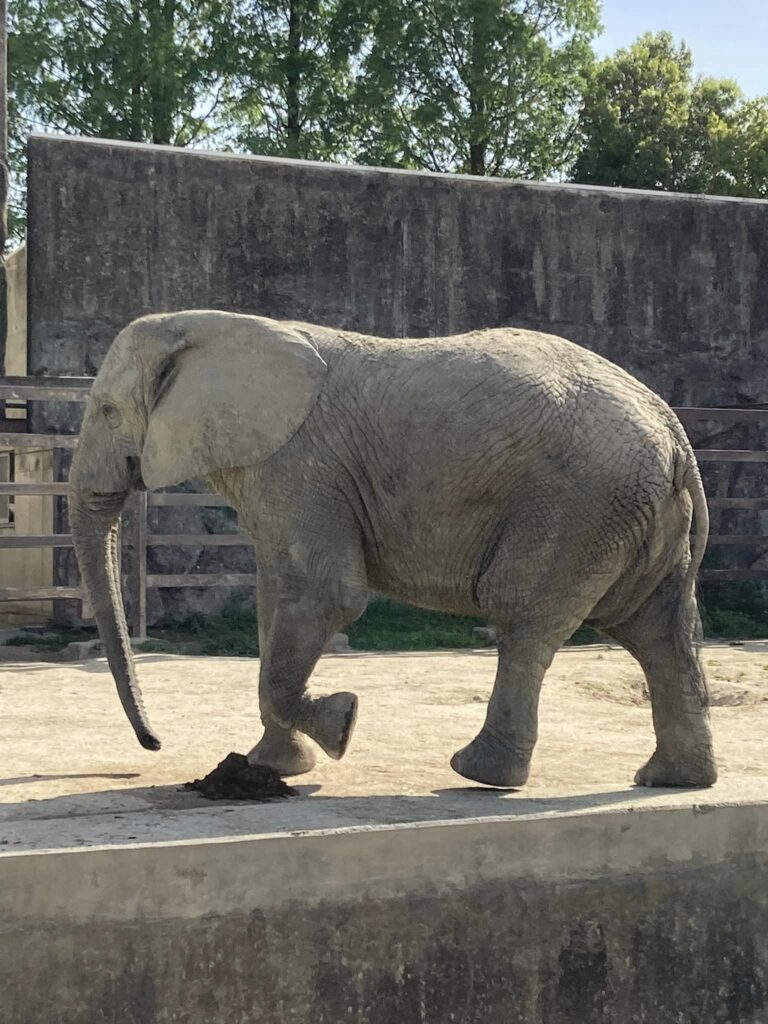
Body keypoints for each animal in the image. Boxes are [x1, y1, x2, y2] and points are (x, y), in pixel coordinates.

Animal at [69, 307, 720, 786]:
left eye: (107, 410)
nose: (152, 745)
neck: (206, 326)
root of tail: (674, 431)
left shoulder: (301, 465)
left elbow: (326, 595)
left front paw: (342, 724)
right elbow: (275, 599)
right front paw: (271, 769)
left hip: (580, 504)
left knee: (525, 615)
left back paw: (480, 774)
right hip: (632, 513)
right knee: (657, 631)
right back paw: (672, 781)